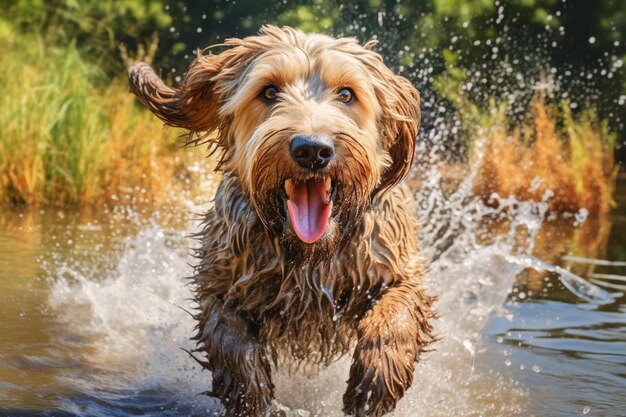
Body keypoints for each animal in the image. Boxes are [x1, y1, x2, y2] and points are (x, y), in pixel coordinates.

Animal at [129, 26, 434, 416]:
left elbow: (397, 310)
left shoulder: (394, 263)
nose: (312, 149)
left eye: (347, 94)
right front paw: (250, 393)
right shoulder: (221, 278)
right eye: (269, 91)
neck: (309, 254)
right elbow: (229, 335)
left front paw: (375, 378)